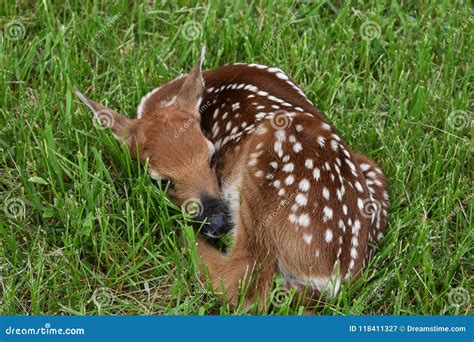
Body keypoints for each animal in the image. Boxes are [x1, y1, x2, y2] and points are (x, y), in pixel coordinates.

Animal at [76, 47, 388, 310]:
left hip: (267, 169)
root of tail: (337, 278)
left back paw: (183, 236)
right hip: (370, 169)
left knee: (243, 282)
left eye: (212, 156)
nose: (217, 220)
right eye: (161, 181)